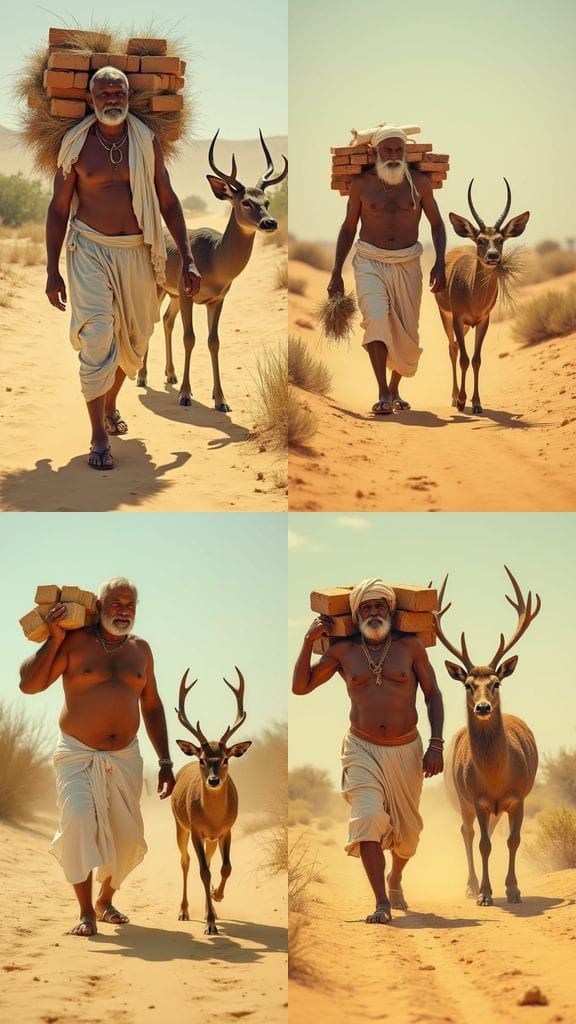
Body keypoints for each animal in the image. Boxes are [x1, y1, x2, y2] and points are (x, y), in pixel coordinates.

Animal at [137, 130, 288, 412]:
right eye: (246, 202)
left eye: (266, 201)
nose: (269, 222)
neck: (215, 257)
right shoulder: (188, 295)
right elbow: (190, 338)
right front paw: (185, 395)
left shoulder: (216, 300)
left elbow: (213, 342)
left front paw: (221, 400)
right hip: (159, 290)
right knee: (152, 321)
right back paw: (142, 376)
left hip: (173, 296)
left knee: (166, 320)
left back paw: (170, 375)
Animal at [171, 667, 251, 934]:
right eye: (202, 759)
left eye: (226, 758)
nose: (214, 781)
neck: (213, 817)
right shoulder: (196, 829)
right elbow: (203, 871)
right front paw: (210, 924)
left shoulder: (227, 830)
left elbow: (226, 867)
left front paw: (217, 896)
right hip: (180, 826)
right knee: (185, 861)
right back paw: (184, 911)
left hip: (211, 839)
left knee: (210, 859)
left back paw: (212, 907)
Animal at [434, 567, 540, 907]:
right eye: (467, 684)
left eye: (496, 682)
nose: (483, 707)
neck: (495, 777)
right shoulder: (477, 798)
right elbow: (482, 844)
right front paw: (484, 893)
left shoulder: (518, 797)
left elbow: (513, 840)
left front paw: (514, 890)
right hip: (460, 798)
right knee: (467, 833)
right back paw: (470, 885)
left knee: (490, 834)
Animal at [435, 179, 530, 415]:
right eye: (480, 240)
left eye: (500, 239)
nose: (493, 256)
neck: (472, 294)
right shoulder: (458, 318)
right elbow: (464, 359)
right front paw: (461, 401)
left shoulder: (483, 321)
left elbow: (476, 359)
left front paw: (477, 403)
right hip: (446, 317)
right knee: (452, 349)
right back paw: (453, 398)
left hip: (467, 326)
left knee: (457, 348)